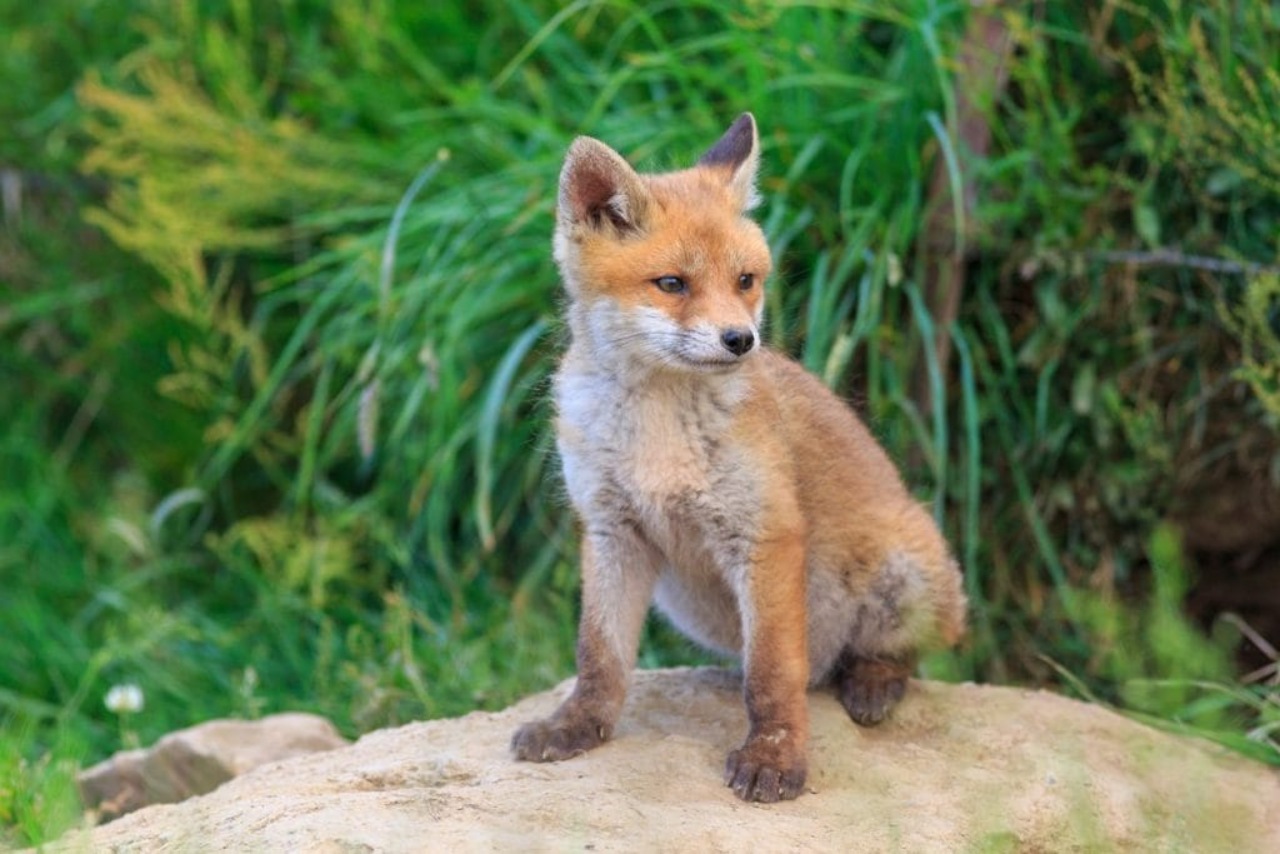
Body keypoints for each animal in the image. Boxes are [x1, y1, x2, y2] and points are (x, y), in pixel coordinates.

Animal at [514, 112, 962, 804]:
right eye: (673, 284)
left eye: (745, 281)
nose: (741, 340)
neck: (660, 434)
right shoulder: (612, 530)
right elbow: (599, 657)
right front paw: (577, 726)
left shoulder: (764, 533)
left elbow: (771, 673)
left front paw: (774, 756)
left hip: (906, 571)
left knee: (895, 657)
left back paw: (872, 680)